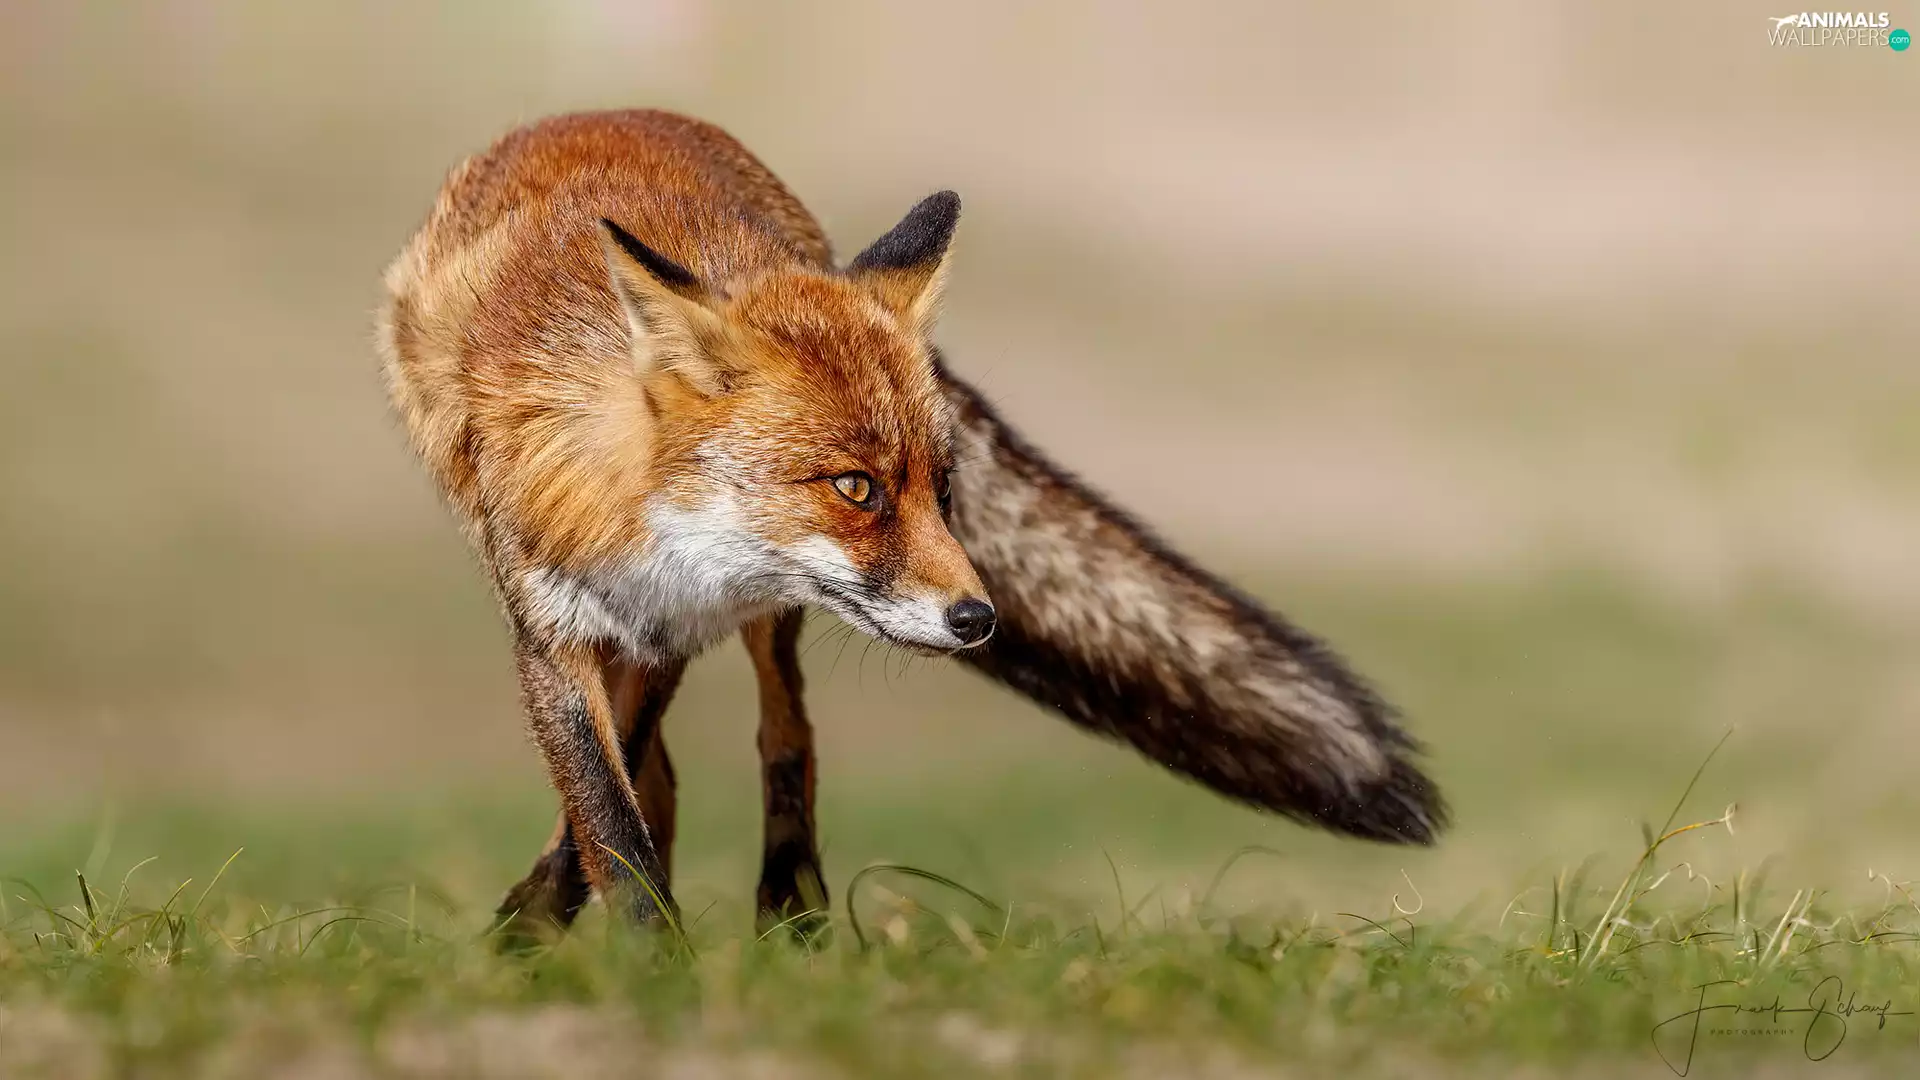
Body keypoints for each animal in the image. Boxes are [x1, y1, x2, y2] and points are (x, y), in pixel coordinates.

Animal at [377, 109, 1446, 943]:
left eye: (941, 486)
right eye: (855, 488)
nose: (979, 620)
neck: (633, 508)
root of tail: (614, 112)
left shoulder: (675, 627)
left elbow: (621, 804)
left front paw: (561, 932)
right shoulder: (558, 629)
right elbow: (609, 817)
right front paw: (633, 955)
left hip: (767, 623)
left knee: (786, 732)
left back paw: (793, 906)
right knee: (675, 775)